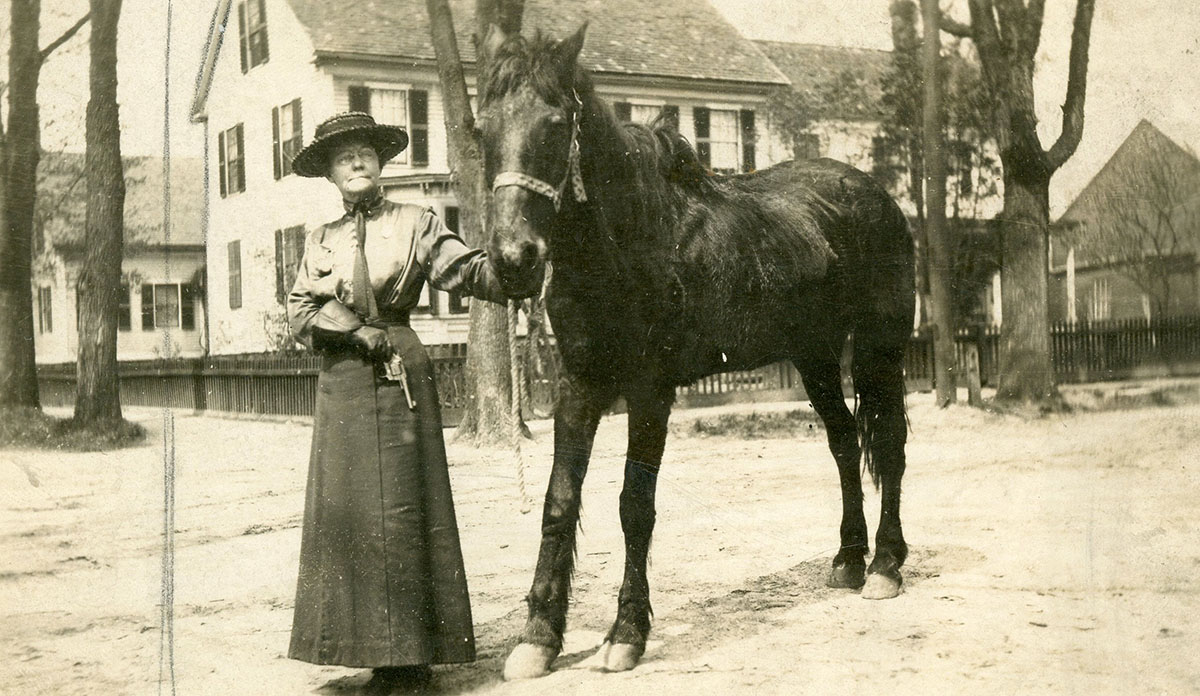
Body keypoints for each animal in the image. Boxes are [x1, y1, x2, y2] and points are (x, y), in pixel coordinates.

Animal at [472, 24, 912, 676]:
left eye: (554, 125)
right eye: (482, 131)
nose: (513, 260)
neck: (630, 239)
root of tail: (874, 194)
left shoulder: (649, 391)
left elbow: (634, 505)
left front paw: (626, 632)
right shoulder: (578, 386)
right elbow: (559, 502)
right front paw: (538, 637)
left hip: (881, 349)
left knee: (888, 443)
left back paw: (885, 565)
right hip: (815, 358)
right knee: (843, 443)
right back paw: (848, 560)